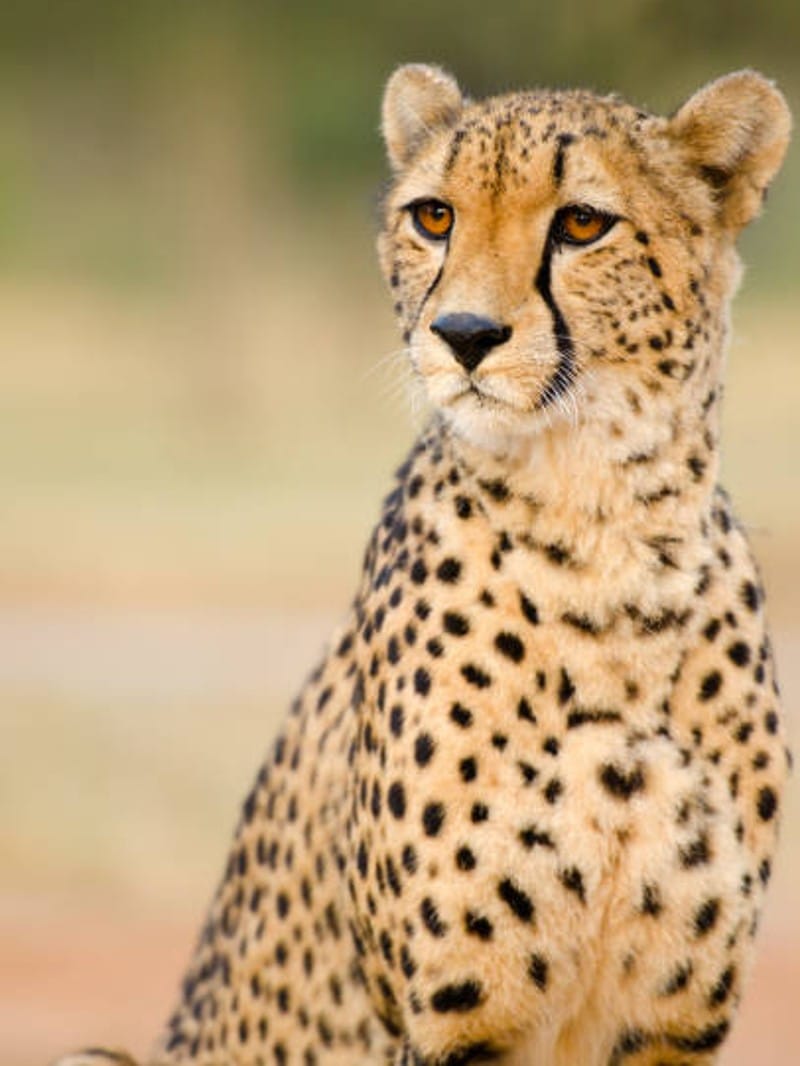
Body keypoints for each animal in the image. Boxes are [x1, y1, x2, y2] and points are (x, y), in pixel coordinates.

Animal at [54, 63, 792, 1066]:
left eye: (582, 223)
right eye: (434, 216)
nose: (465, 334)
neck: (602, 538)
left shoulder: (672, 1029)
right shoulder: (457, 1023)